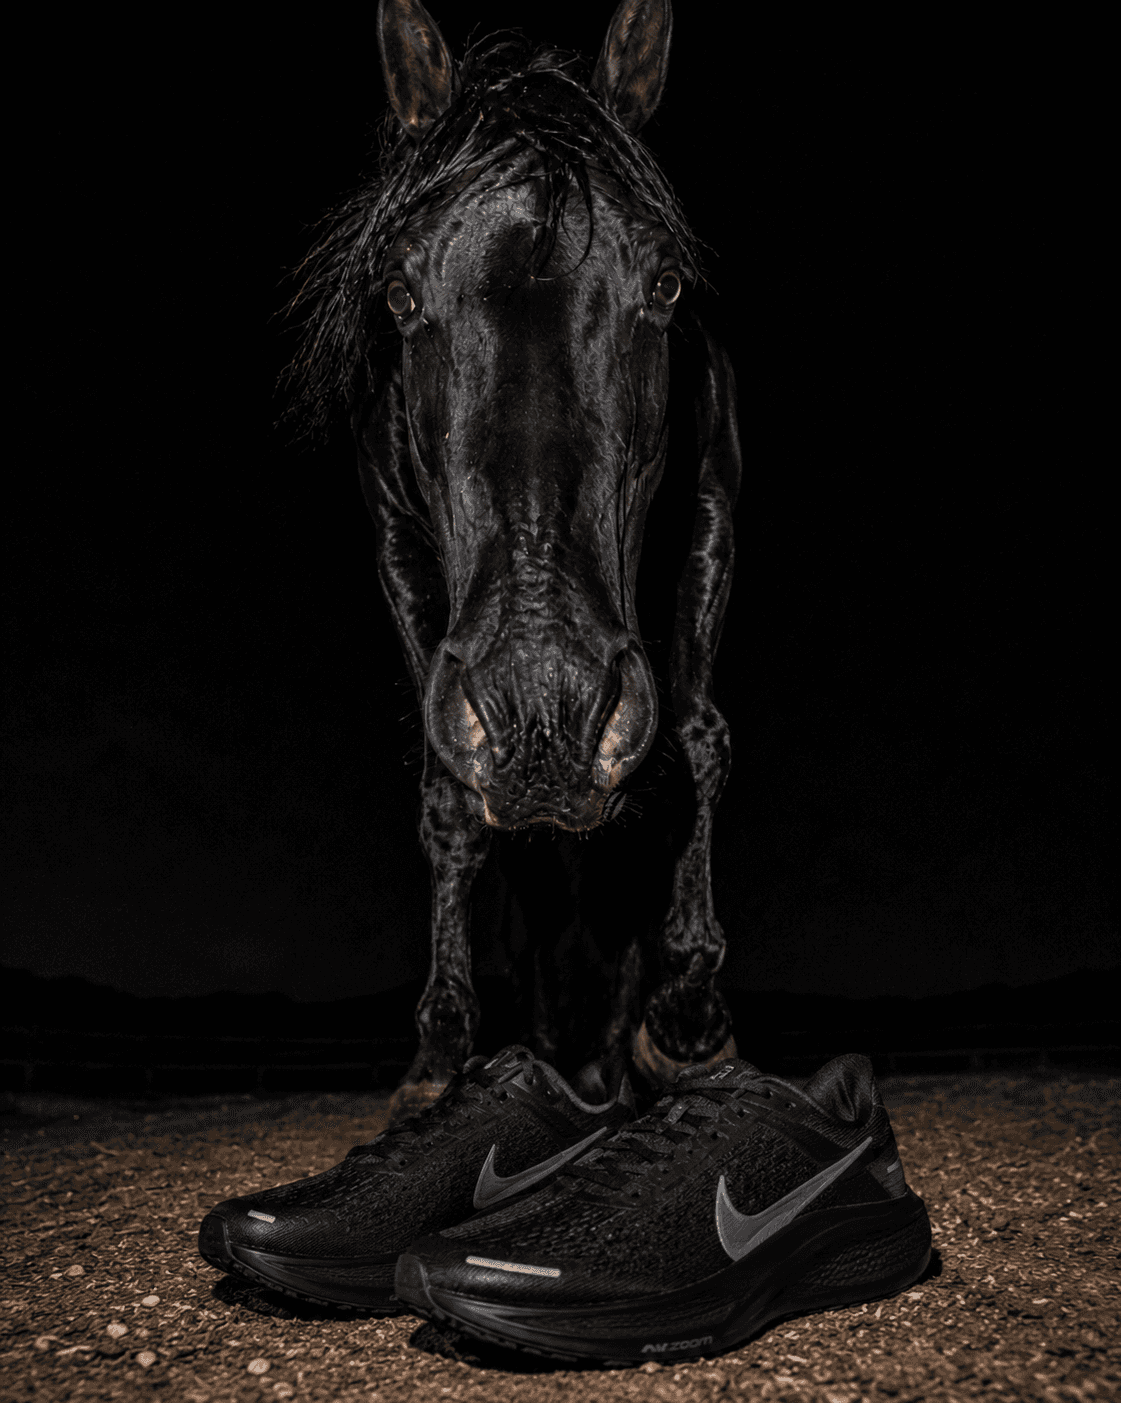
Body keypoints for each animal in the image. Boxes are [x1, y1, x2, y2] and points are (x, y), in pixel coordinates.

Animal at [284, 0, 741, 1116]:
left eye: (666, 282)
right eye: (398, 294)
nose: (543, 710)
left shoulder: (711, 508)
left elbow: (698, 739)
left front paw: (686, 1010)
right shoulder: (398, 547)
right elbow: (453, 800)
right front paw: (443, 1053)